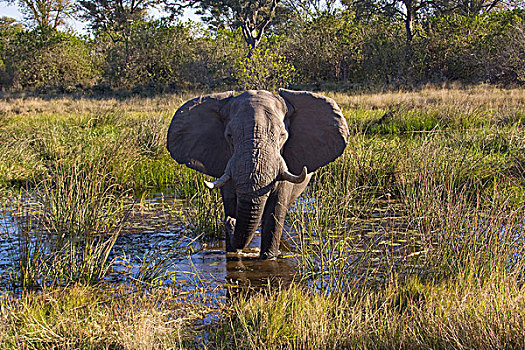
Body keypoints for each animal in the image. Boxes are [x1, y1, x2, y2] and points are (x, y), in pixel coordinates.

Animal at [168, 89, 348, 260]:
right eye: (229, 136)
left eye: (282, 136)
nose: (230, 220)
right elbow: (231, 201)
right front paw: (233, 253)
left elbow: (276, 209)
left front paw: (268, 257)